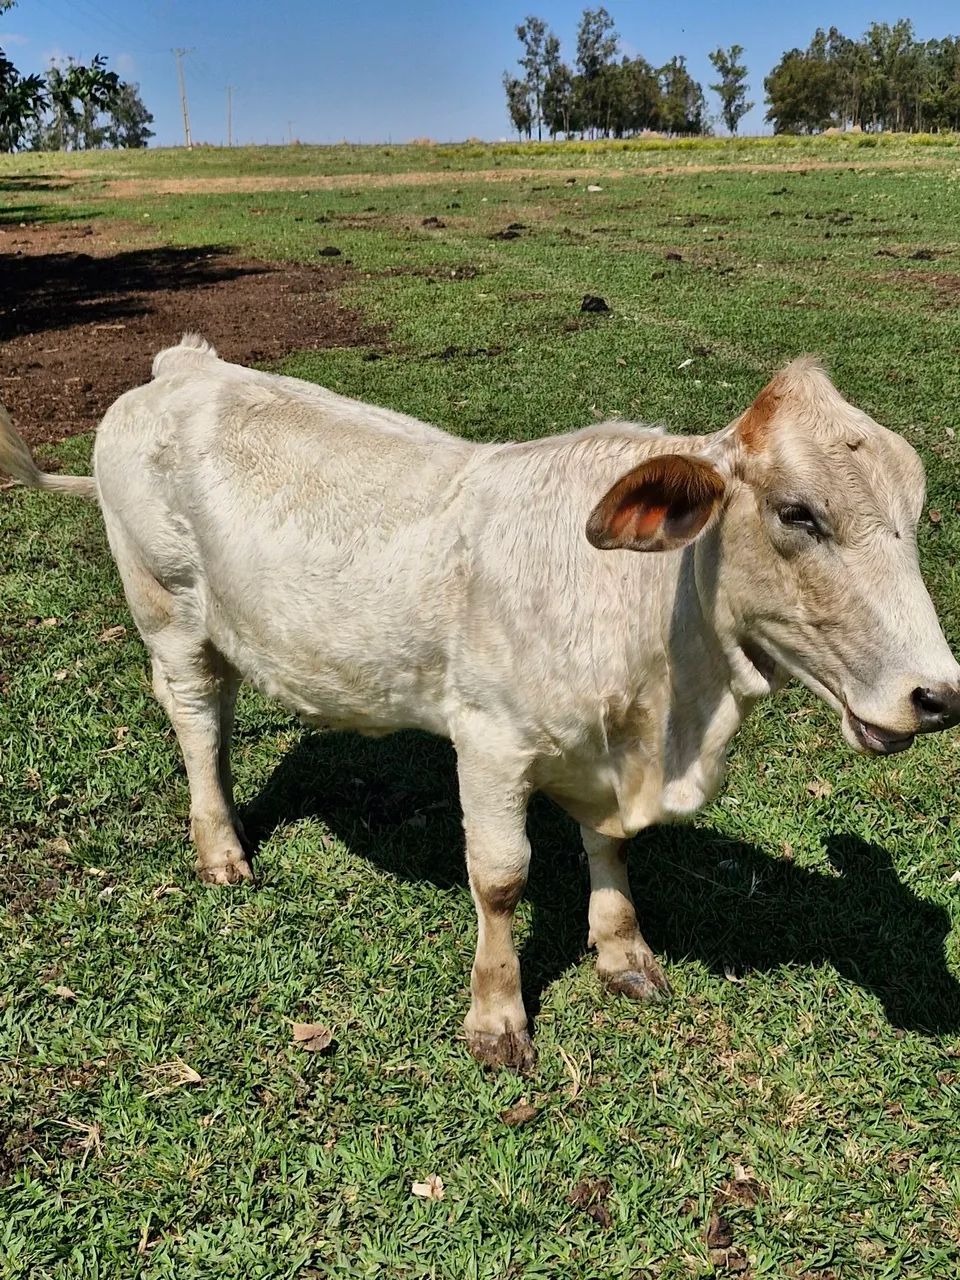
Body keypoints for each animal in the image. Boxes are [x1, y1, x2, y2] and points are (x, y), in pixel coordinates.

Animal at [3, 336, 959, 1074]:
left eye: (915, 514)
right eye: (799, 514)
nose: (938, 694)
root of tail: (184, 365)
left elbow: (610, 850)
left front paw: (623, 953)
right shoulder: (491, 742)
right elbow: (500, 877)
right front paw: (497, 1018)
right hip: (166, 612)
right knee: (197, 723)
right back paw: (221, 848)